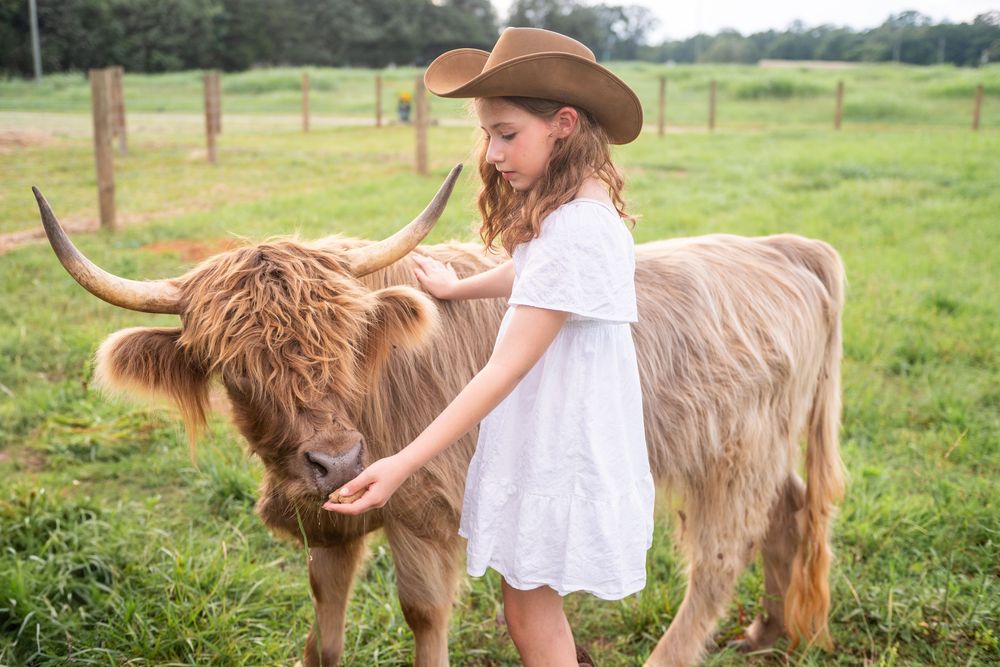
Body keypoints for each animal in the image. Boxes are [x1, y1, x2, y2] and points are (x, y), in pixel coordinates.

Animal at [33, 163, 845, 667]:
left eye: (347, 341)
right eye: (235, 368)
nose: (335, 460)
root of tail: (782, 248)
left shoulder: (424, 512)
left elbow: (423, 614)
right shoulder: (330, 522)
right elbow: (323, 632)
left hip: (733, 456)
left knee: (720, 557)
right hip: (765, 448)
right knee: (789, 512)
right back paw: (767, 630)